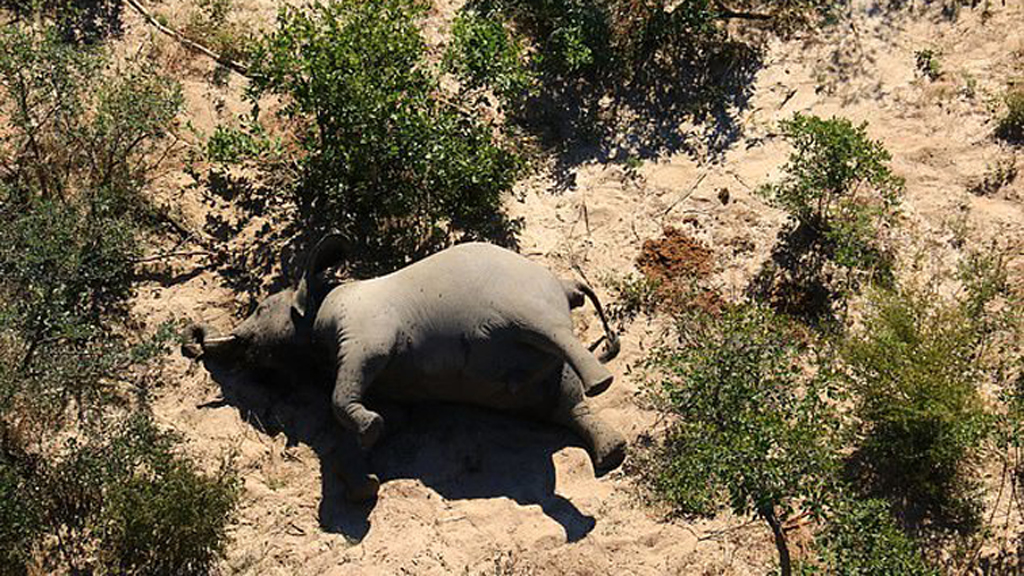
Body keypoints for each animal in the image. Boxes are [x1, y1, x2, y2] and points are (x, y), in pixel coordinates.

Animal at [184, 235, 626, 501]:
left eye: (260, 308)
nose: (192, 341)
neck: (323, 299)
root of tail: (566, 284)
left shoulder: (366, 331)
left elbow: (344, 391)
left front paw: (368, 433)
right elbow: (392, 417)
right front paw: (365, 480)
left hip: (527, 303)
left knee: (553, 337)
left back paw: (602, 385)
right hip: (537, 375)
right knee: (565, 404)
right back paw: (612, 453)